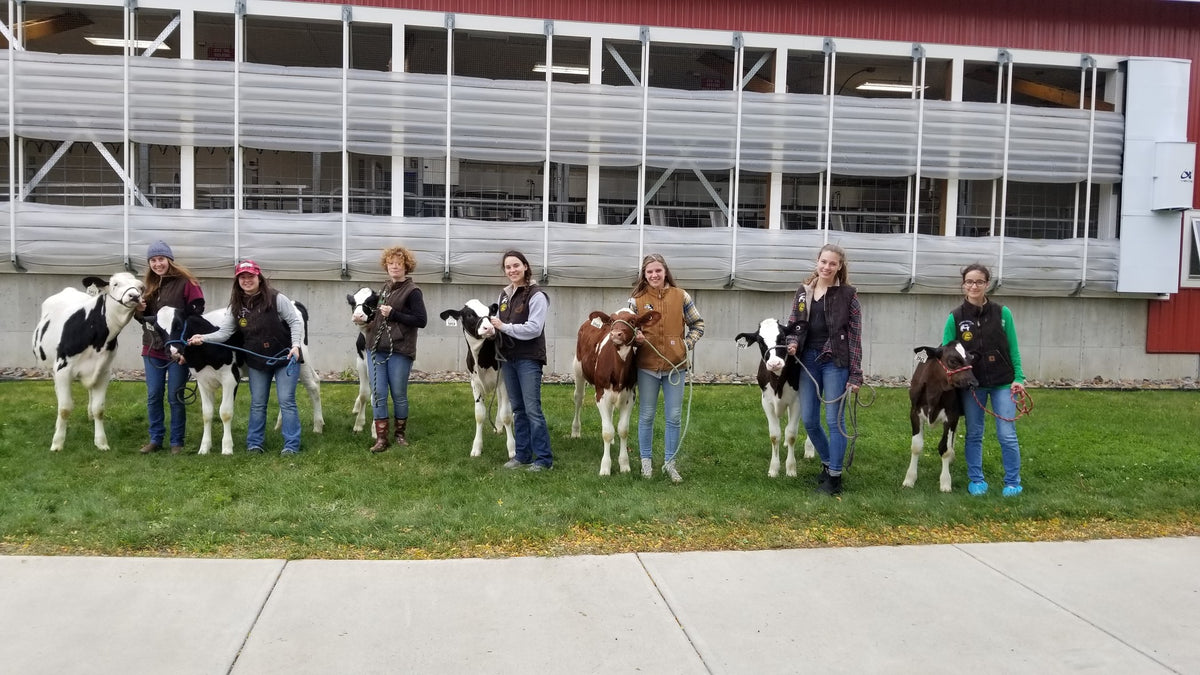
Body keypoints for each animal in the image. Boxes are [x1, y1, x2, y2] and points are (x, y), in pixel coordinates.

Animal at [31, 270, 145, 449]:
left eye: (141, 287)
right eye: (115, 284)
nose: (134, 296)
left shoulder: (104, 372)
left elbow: (100, 409)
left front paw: (101, 442)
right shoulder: (63, 370)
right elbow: (64, 408)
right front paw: (57, 443)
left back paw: (90, 415)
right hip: (52, 368)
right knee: (58, 393)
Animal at [441, 299, 516, 456]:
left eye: (490, 313)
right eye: (470, 315)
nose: (489, 328)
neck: (484, 360)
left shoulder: (504, 381)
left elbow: (506, 415)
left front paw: (512, 449)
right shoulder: (475, 384)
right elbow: (480, 415)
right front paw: (477, 447)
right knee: (499, 400)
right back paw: (497, 426)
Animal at [568, 306, 662, 473]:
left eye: (633, 320)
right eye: (612, 320)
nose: (616, 334)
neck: (618, 370)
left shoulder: (630, 396)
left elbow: (623, 430)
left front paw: (624, 465)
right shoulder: (601, 394)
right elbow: (607, 432)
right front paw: (605, 467)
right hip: (578, 369)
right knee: (579, 399)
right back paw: (575, 431)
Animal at [729, 317, 816, 475]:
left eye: (782, 338)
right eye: (760, 342)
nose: (775, 363)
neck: (778, 383)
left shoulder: (797, 401)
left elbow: (791, 434)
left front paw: (791, 469)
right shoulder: (766, 401)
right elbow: (775, 435)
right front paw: (774, 469)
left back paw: (809, 450)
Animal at [902, 341, 979, 487]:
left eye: (971, 359)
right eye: (953, 361)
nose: (974, 383)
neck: (934, 391)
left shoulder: (951, 416)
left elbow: (944, 448)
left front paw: (945, 482)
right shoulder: (914, 412)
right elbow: (916, 446)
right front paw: (909, 479)